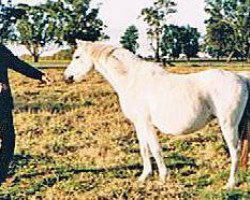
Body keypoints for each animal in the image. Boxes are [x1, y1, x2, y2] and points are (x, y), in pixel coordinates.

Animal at [65, 39, 250, 188]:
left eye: (77, 57)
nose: (67, 77)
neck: (132, 80)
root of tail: (241, 77)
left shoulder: (146, 123)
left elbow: (155, 149)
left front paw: (163, 177)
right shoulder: (139, 124)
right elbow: (144, 149)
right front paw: (144, 177)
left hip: (228, 125)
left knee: (235, 151)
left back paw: (230, 184)